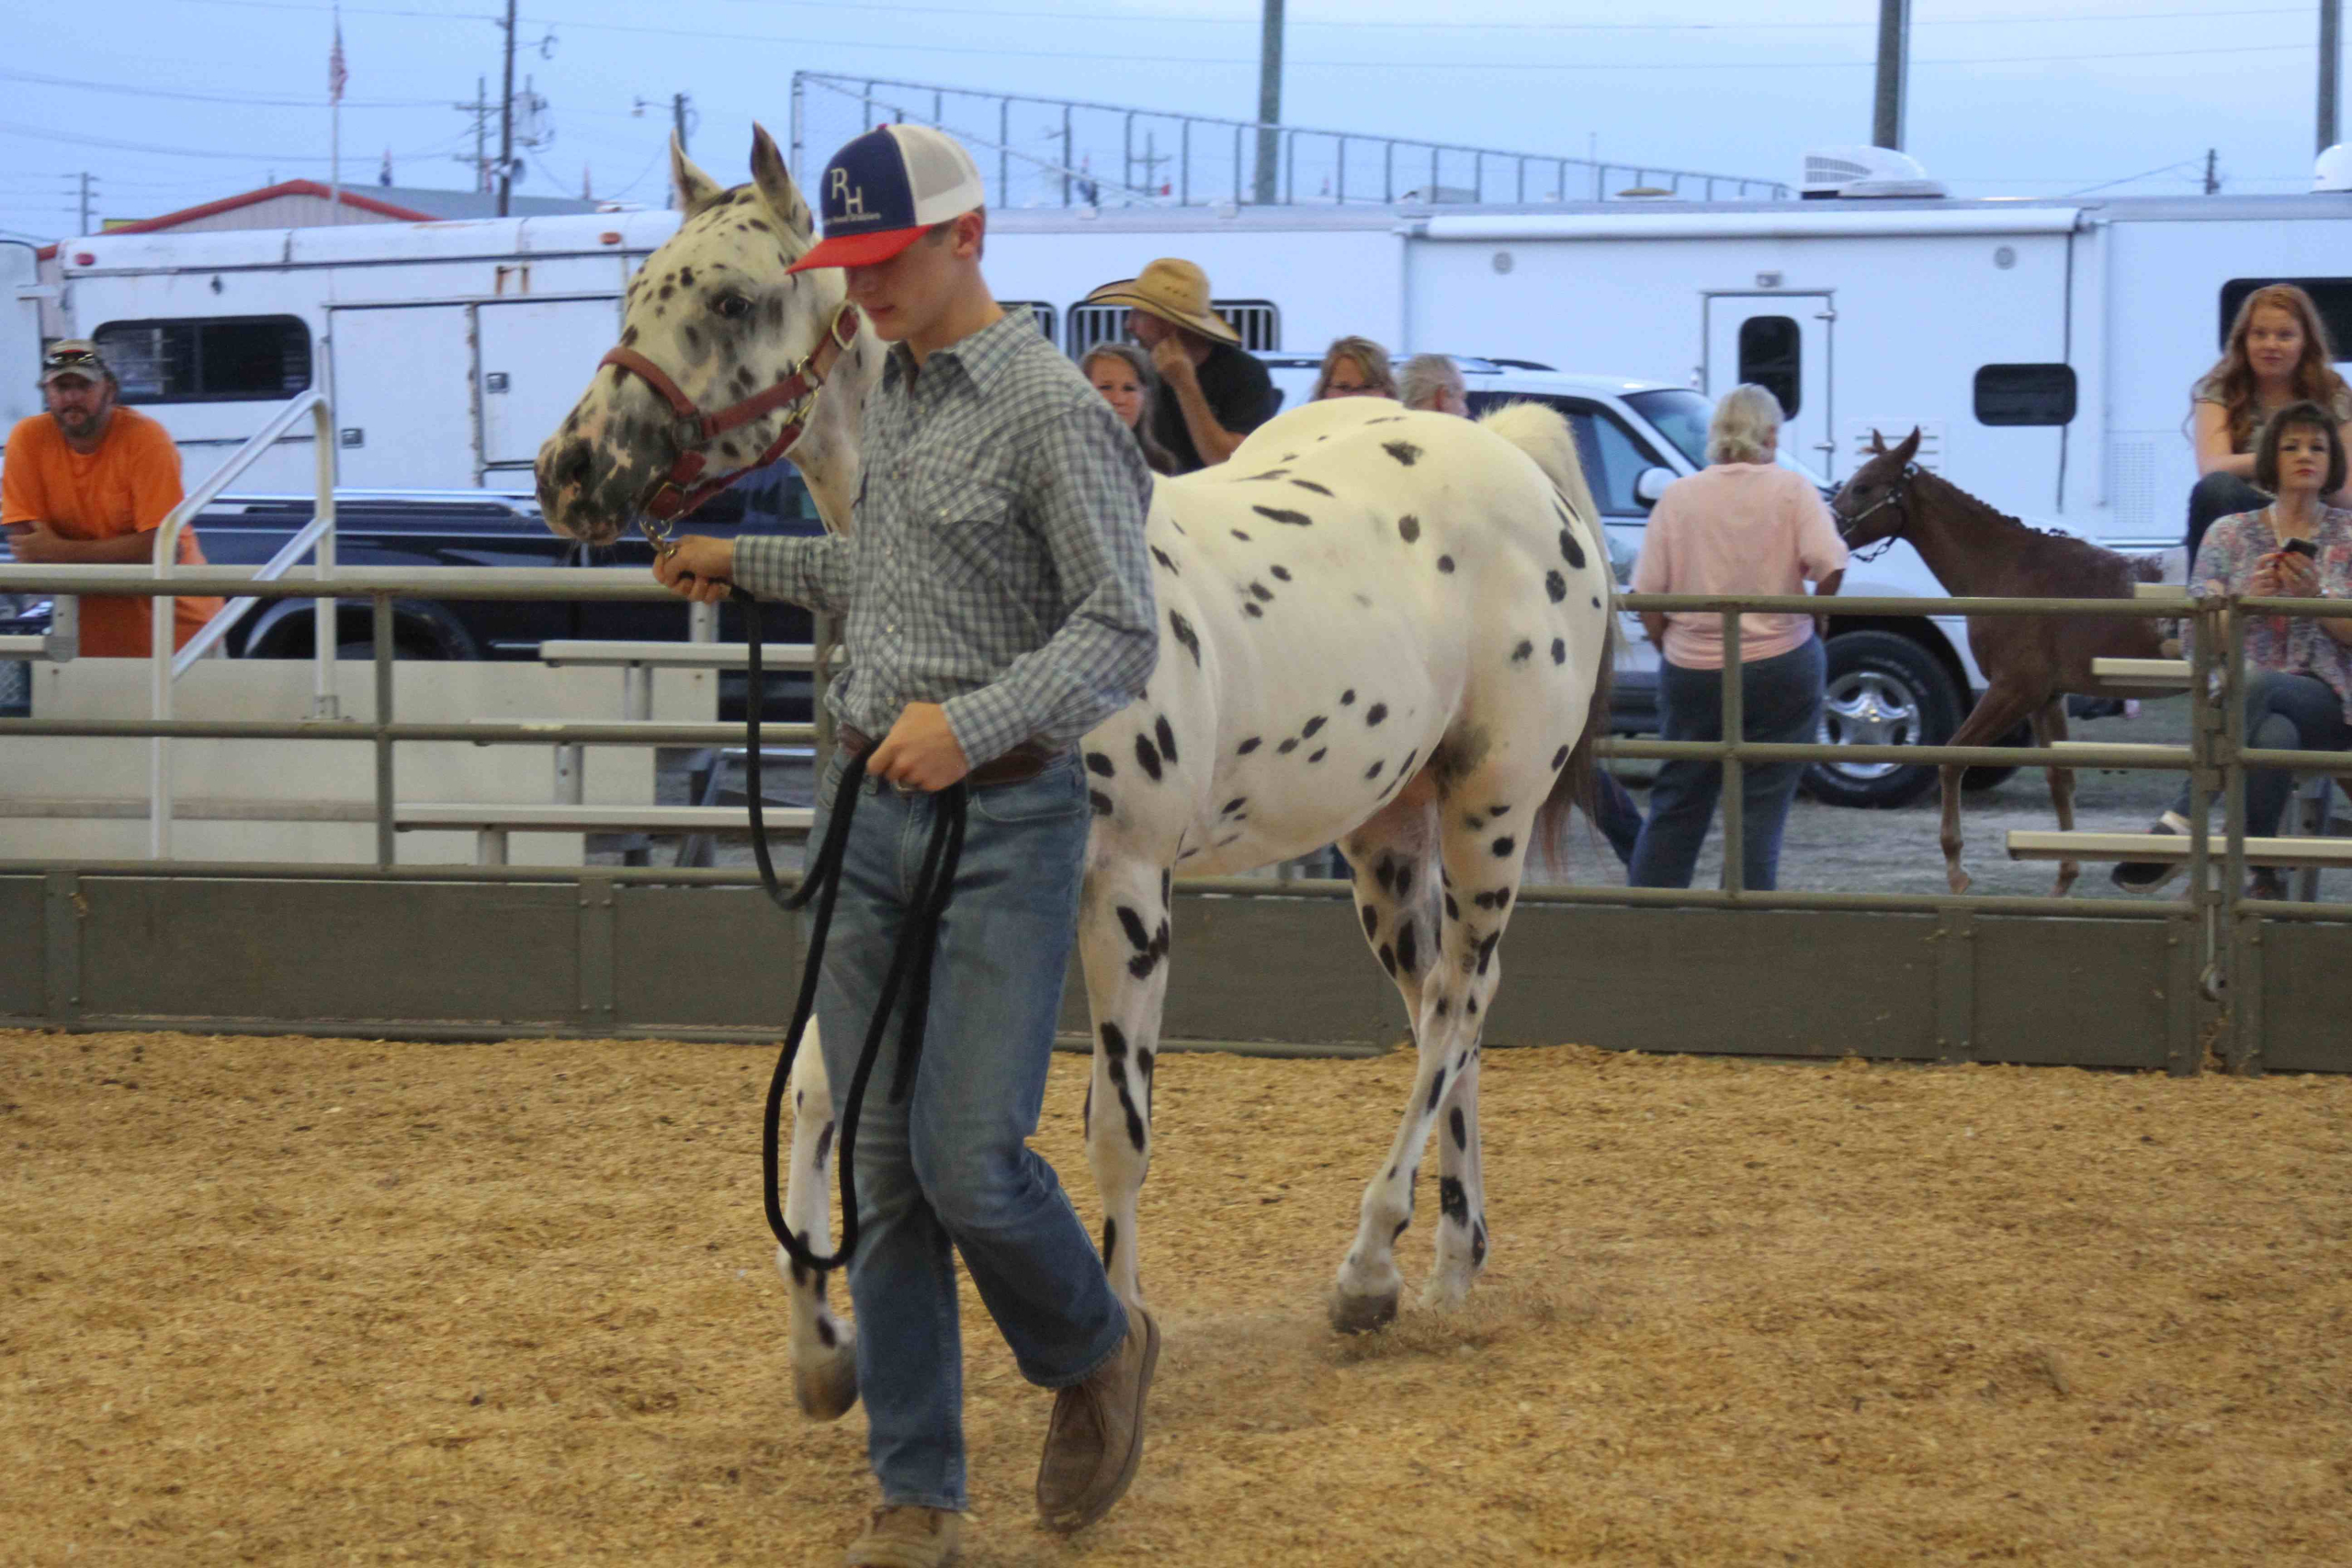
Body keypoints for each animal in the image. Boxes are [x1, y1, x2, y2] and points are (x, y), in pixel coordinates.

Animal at [534, 122, 1618, 1419]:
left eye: (734, 297)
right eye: (635, 291)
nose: (570, 470)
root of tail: (1517, 462)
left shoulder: (1128, 893)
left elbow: (1116, 1128)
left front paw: (1122, 1331)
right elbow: (813, 1087)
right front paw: (822, 1351)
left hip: (1487, 809)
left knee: (1458, 1002)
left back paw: (1368, 1269)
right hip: (1383, 835)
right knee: (1443, 1015)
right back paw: (1451, 1265)